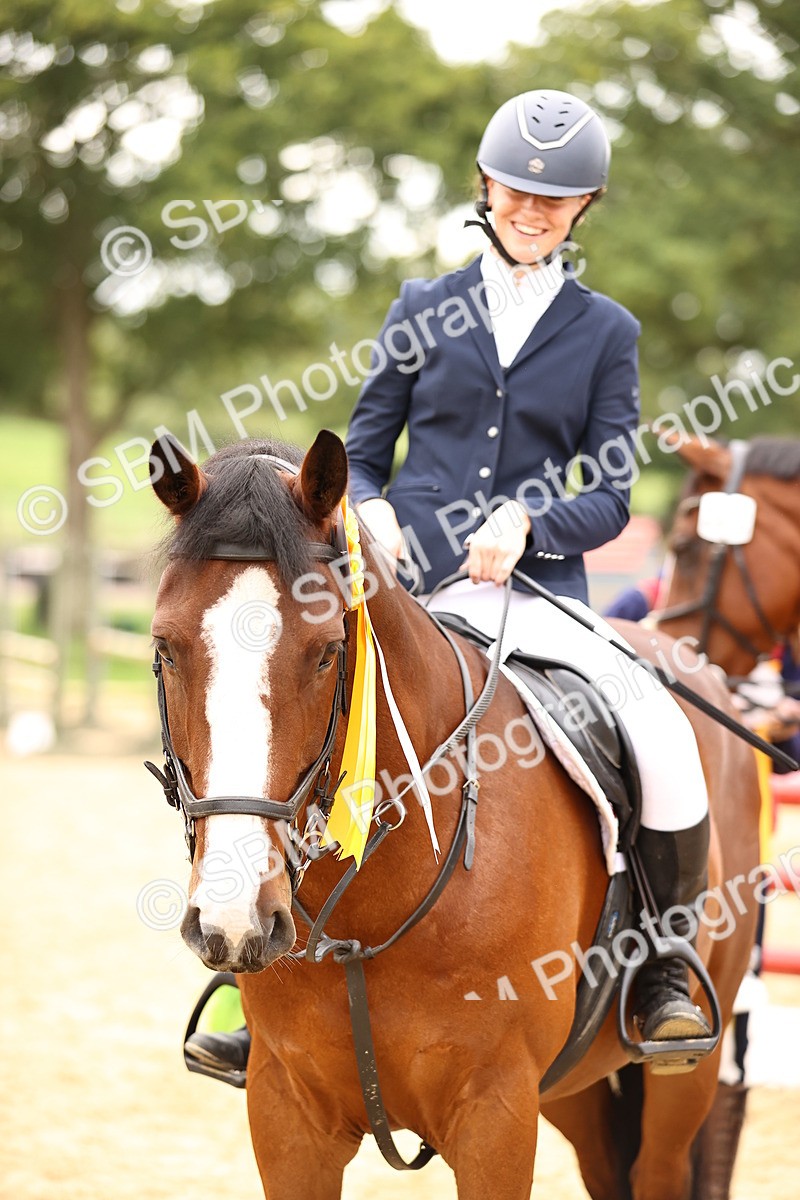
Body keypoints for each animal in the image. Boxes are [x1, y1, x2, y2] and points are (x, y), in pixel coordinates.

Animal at [147, 429, 761, 1200]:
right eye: (165, 648)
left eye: (325, 653)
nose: (234, 921)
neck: (369, 917)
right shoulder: (286, 1111)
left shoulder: (496, 1114)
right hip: (578, 1094)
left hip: (684, 1076)